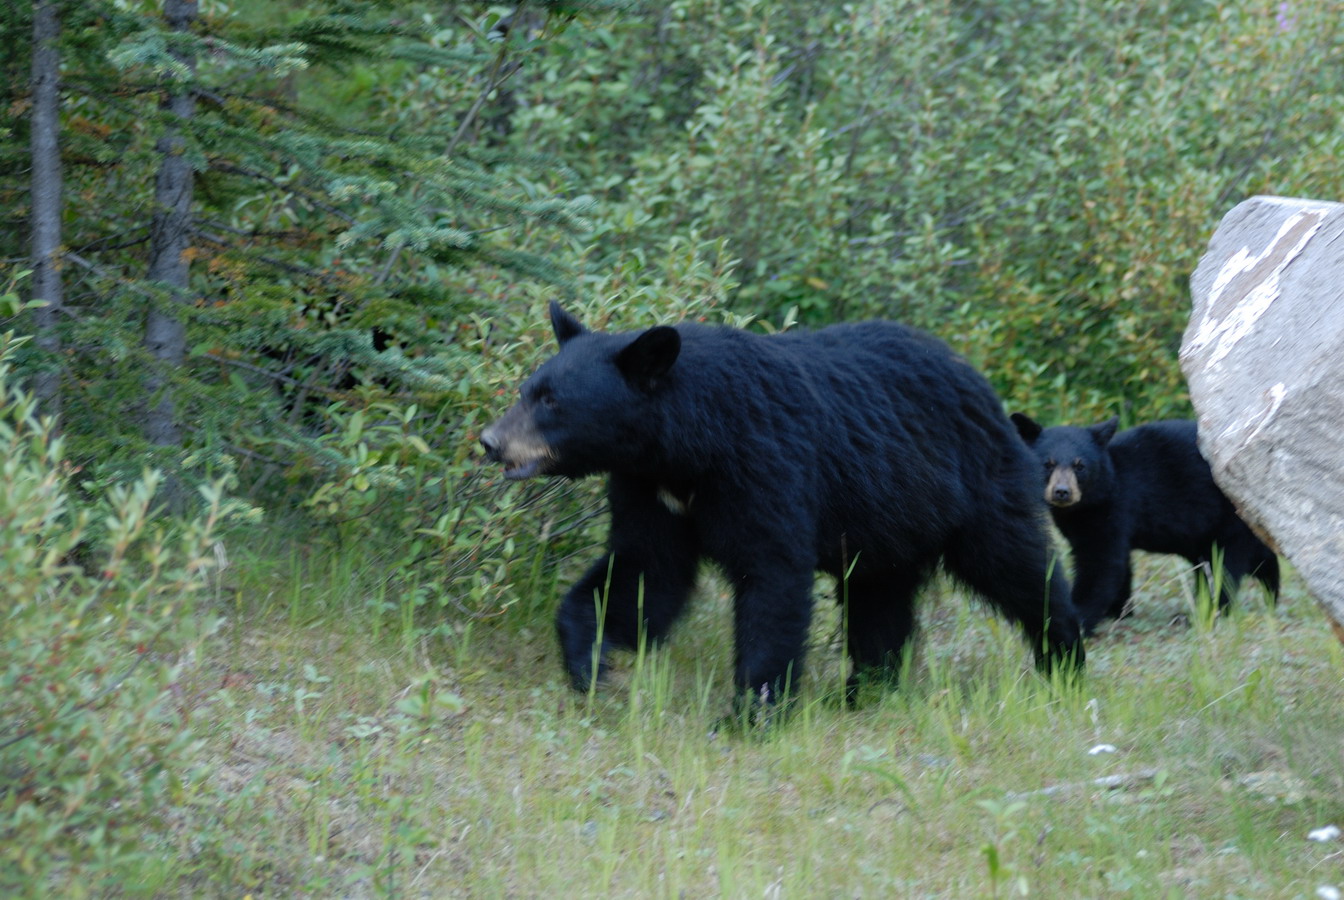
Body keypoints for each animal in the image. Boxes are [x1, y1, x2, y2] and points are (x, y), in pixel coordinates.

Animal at [483, 304, 1080, 714]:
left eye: (552, 401)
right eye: (527, 389)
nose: (491, 442)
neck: (691, 446)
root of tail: (980, 381)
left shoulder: (767, 466)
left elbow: (771, 577)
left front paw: (752, 712)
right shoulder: (649, 488)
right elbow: (642, 572)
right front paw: (590, 665)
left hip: (972, 492)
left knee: (1018, 569)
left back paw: (1064, 658)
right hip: (888, 522)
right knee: (879, 601)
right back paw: (865, 692)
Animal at [1010, 419, 1274, 634]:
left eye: (1079, 465)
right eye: (1048, 464)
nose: (1062, 492)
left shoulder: (1113, 508)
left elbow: (1100, 564)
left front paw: (1080, 617)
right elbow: (1118, 565)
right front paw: (1119, 611)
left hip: (1226, 516)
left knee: (1224, 566)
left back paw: (1206, 612)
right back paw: (1271, 591)